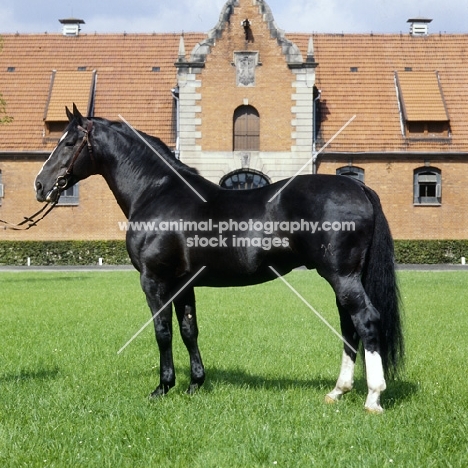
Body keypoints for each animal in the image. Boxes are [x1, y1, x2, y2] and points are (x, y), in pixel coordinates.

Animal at [34, 107, 404, 414]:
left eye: (69, 142)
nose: (40, 185)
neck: (157, 193)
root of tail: (358, 188)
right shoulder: (182, 283)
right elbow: (189, 330)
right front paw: (195, 383)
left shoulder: (155, 281)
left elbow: (162, 331)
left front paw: (163, 387)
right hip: (344, 279)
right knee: (348, 326)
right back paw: (338, 391)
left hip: (342, 277)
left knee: (366, 321)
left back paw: (373, 398)